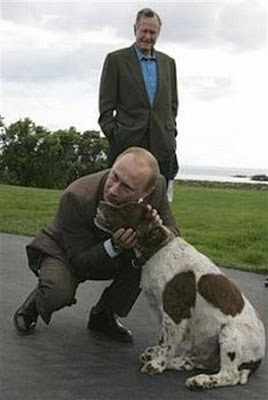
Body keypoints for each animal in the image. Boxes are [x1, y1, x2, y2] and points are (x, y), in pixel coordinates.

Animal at [94, 202, 266, 390]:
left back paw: (201, 380)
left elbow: (167, 340)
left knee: (230, 374)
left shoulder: (174, 310)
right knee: (197, 362)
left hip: (230, 333)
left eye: (125, 208)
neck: (158, 249)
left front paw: (157, 364)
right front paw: (156, 356)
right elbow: (164, 338)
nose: (101, 203)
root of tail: (258, 359)